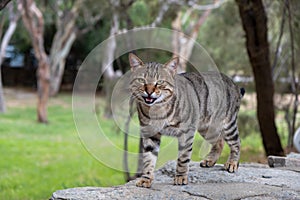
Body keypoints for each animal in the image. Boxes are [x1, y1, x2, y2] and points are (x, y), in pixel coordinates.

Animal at [128, 53, 244, 188]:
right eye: (142, 80)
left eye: (160, 82)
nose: (149, 91)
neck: (157, 110)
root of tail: (232, 81)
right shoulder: (150, 134)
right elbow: (148, 160)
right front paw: (146, 178)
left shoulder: (186, 133)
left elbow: (183, 158)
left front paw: (180, 177)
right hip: (207, 128)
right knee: (219, 142)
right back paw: (210, 160)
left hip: (228, 124)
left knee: (237, 142)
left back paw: (232, 163)